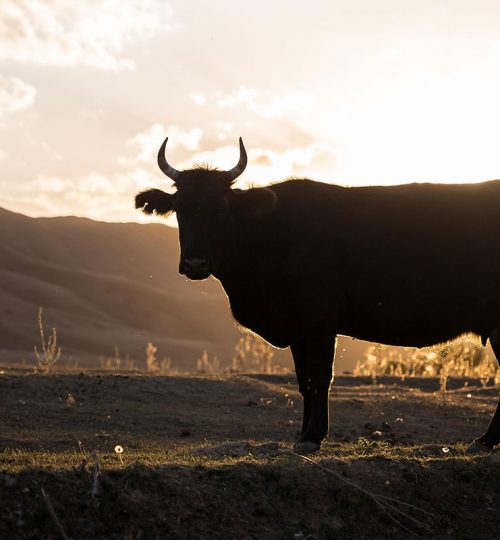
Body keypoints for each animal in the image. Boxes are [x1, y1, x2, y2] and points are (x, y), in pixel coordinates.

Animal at [136, 137, 500, 454]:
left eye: (223, 210)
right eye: (179, 209)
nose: (195, 263)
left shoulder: (320, 320)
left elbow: (321, 376)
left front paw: (312, 437)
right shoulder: (297, 327)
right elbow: (304, 381)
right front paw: (302, 433)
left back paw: (483, 441)